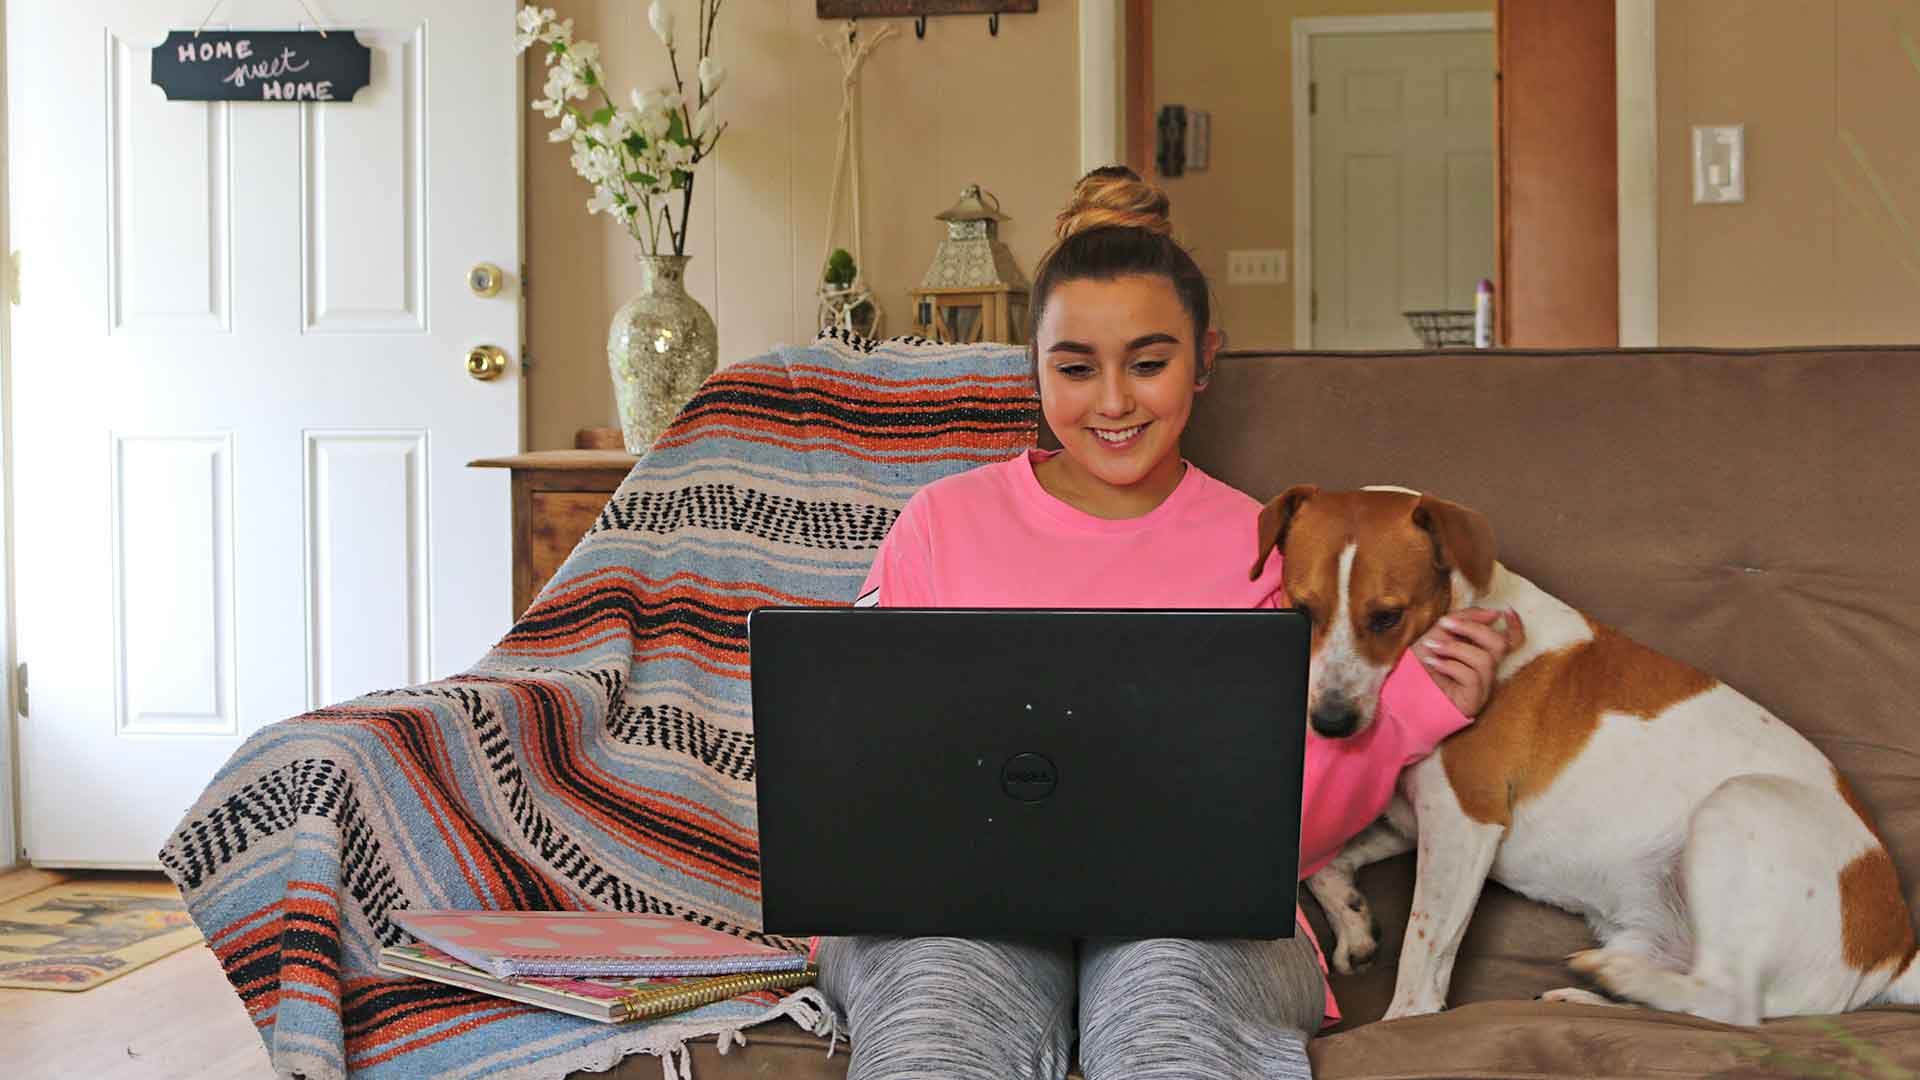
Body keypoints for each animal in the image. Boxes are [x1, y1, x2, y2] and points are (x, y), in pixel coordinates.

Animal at [1251, 484, 1912, 1022]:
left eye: (1387, 617)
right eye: (1300, 609)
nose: (1329, 724)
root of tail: (1897, 952)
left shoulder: (1465, 820)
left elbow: (1422, 954)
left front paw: (1401, 1024)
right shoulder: (1413, 818)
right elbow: (1324, 865)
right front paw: (1354, 922)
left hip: (1738, 803)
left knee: (1731, 1003)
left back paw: (1613, 977)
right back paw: (1602, 991)